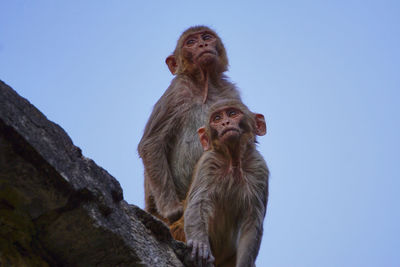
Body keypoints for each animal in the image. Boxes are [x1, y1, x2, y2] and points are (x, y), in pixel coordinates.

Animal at [138, 26, 241, 225]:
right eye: (191, 42)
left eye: (206, 37)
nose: (202, 44)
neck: (205, 87)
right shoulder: (177, 93)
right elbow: (151, 143)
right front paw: (171, 210)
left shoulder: (230, 93)